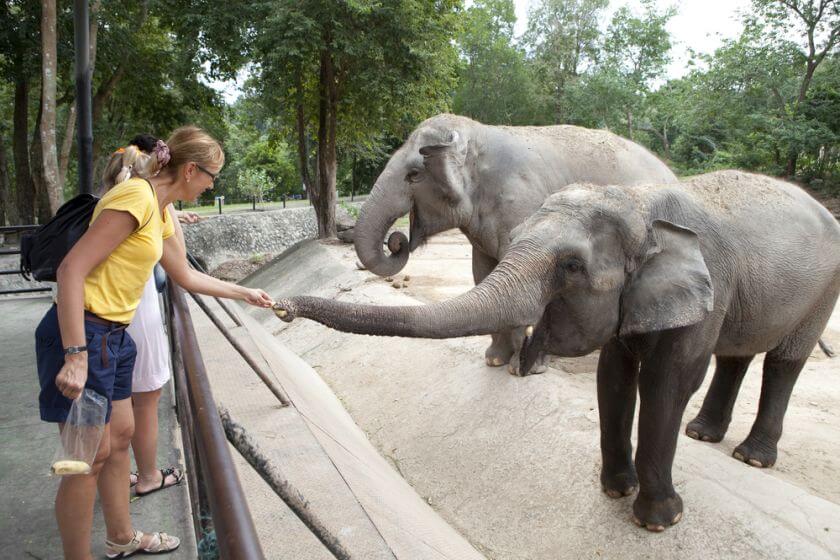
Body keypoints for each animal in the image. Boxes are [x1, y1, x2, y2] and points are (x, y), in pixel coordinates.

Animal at [276, 171, 840, 528]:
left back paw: (751, 458)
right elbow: (613, 375)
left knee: (784, 361)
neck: (643, 204)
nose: (279, 306)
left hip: (822, 291)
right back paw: (704, 435)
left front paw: (661, 520)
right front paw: (615, 491)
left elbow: (668, 382)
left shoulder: (709, 285)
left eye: (570, 266)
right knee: (739, 353)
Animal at [352, 112, 676, 376]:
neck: (478, 134)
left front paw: (523, 369)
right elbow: (482, 272)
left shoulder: (522, 204)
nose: (397, 242)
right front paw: (494, 360)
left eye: (414, 174)